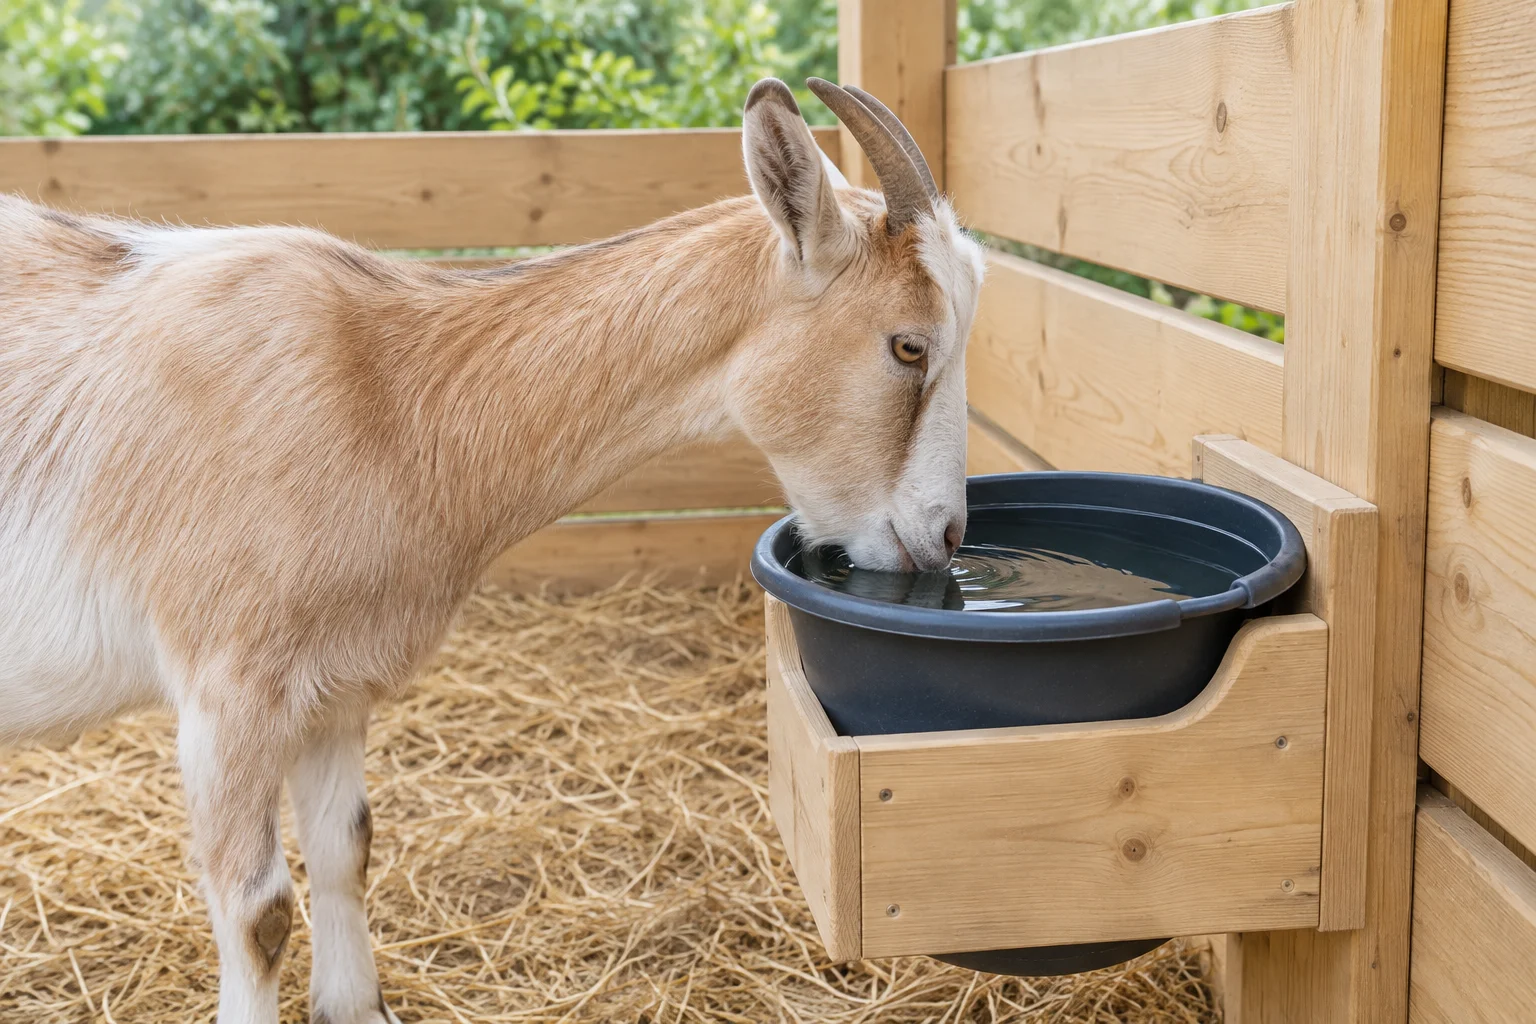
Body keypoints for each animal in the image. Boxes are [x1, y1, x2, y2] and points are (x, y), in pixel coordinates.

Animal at [0, 78, 985, 1024]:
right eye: (909, 344)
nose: (944, 539)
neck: (389, 392)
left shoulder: (332, 685)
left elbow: (348, 849)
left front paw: (360, 1009)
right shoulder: (228, 692)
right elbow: (258, 913)